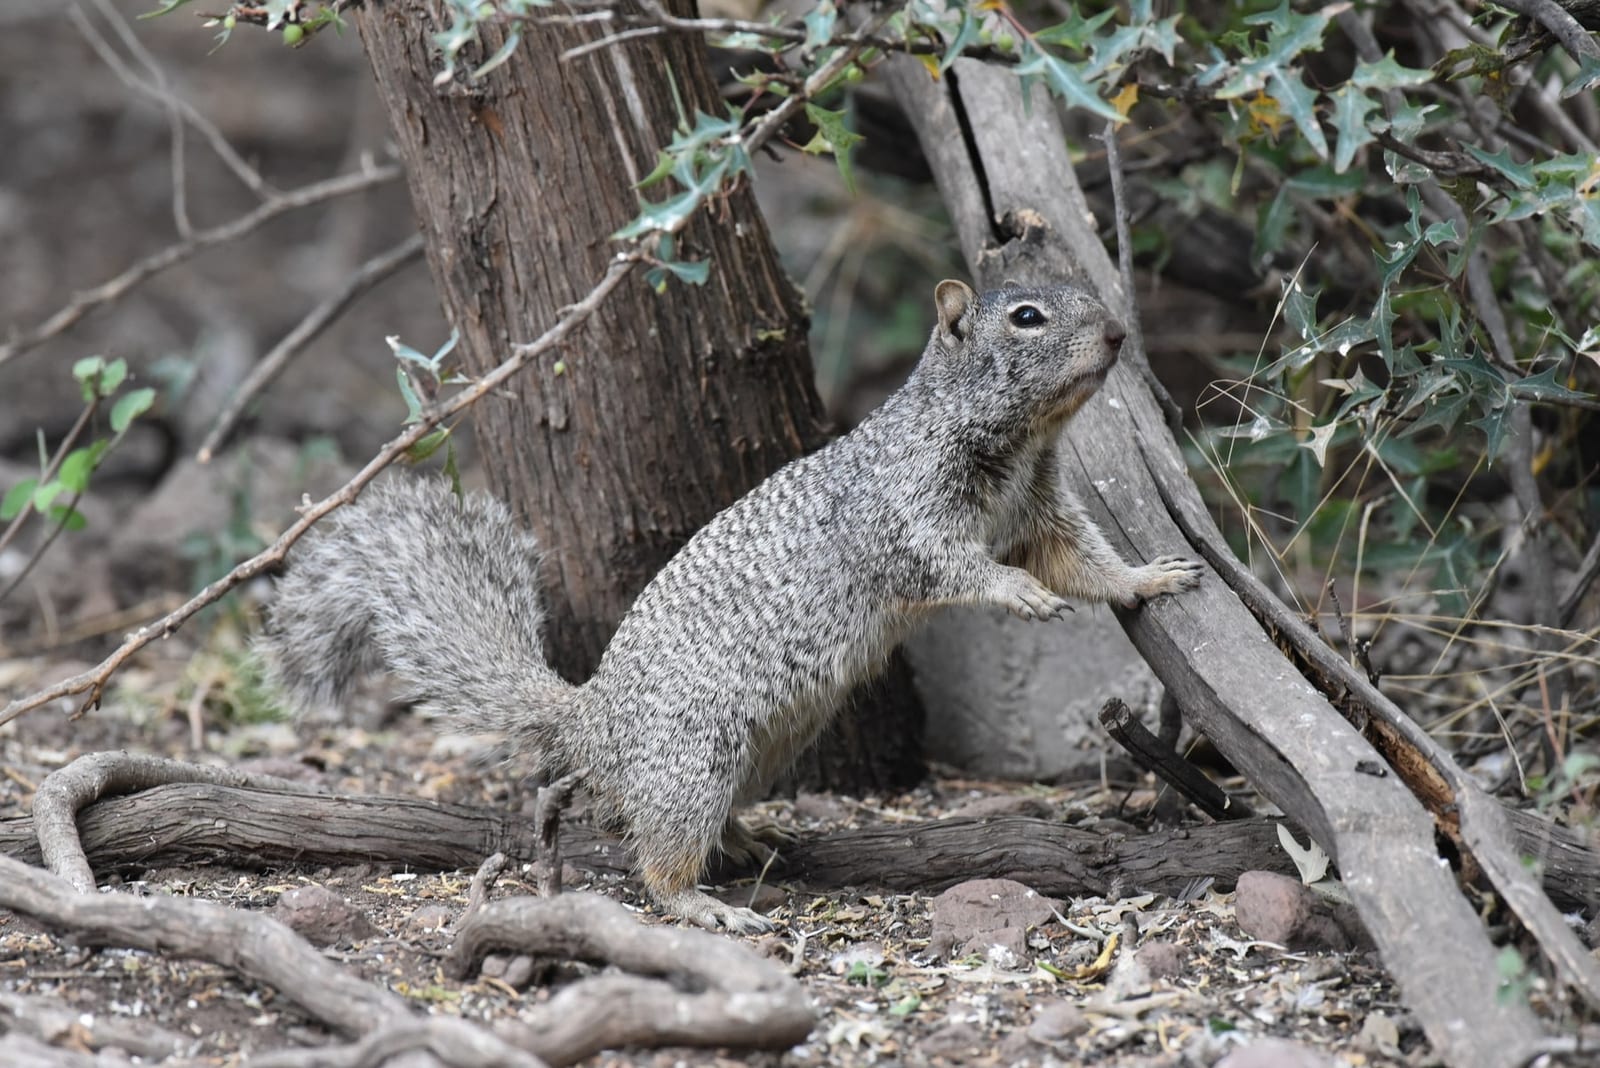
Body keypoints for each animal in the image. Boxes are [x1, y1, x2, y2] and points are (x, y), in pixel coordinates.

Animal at [259, 279, 1203, 934]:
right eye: (1028, 318)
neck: (1015, 444)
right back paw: (703, 902)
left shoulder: (1039, 514)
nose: (1118, 333)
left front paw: (1149, 579)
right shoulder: (905, 516)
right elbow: (948, 565)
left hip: (769, 744)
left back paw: (748, 840)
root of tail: (593, 721)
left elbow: (1083, 562)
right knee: (654, 860)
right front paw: (1018, 595)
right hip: (694, 757)